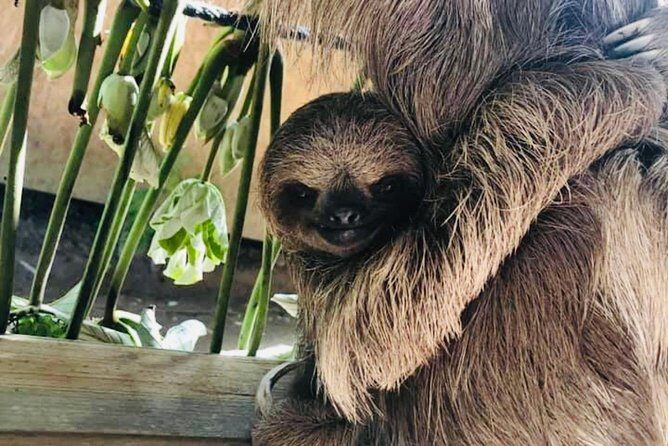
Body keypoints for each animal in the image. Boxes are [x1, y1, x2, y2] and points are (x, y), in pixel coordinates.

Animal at [251, 1, 668, 444]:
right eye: (303, 193)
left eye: (385, 186)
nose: (345, 214)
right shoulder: (329, 286)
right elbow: (380, 332)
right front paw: (633, 78)